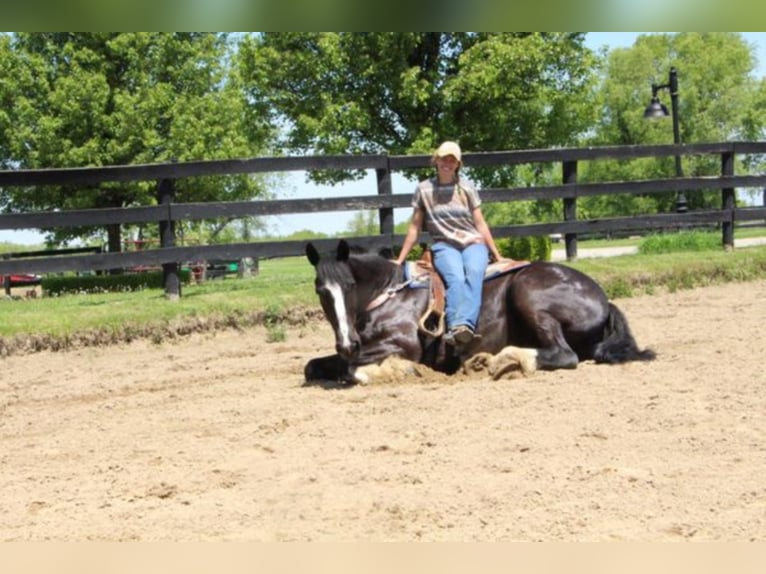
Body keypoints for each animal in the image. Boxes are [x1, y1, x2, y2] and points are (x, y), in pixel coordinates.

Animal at [304, 241, 656, 384]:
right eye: (321, 289)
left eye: (350, 285)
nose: (347, 343)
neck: (389, 292)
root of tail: (603, 299)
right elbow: (314, 367)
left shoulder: (403, 344)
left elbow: (353, 370)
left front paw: (399, 371)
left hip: (527, 292)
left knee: (564, 355)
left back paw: (501, 360)